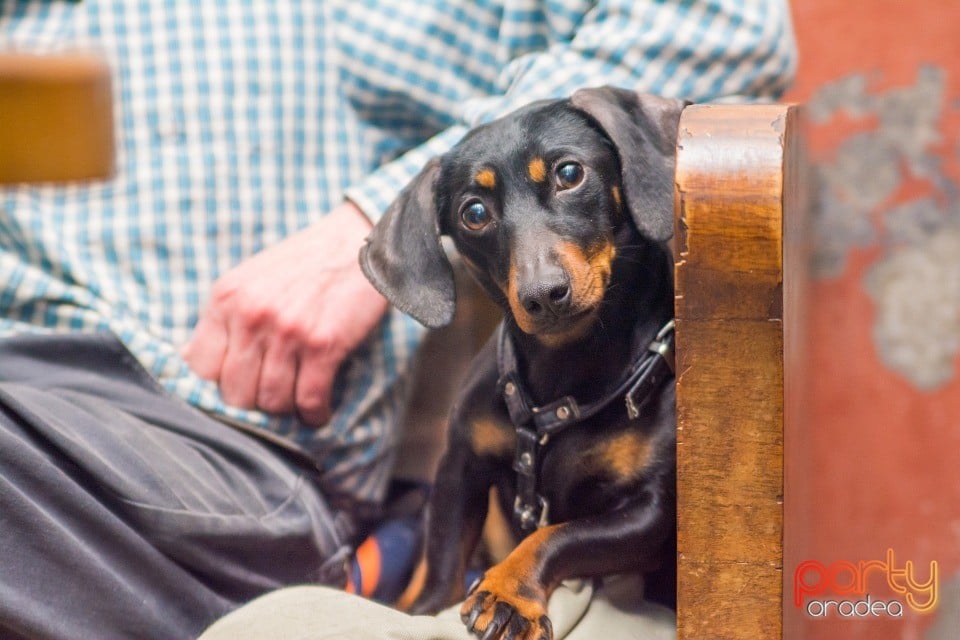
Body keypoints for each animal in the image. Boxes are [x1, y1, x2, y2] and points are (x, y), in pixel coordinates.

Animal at [358, 89, 684, 640]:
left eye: (570, 173)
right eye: (474, 212)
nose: (543, 294)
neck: (564, 378)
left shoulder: (649, 512)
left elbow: (558, 536)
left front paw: (507, 594)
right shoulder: (459, 467)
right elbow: (442, 564)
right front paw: (426, 611)